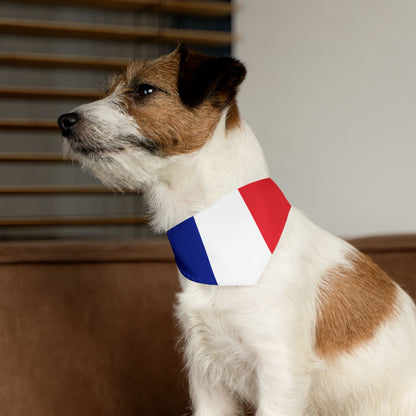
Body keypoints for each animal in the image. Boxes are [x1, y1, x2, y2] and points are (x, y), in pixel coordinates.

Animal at [57, 47, 416, 414]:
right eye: (110, 90)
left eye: (144, 89)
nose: (64, 121)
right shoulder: (207, 376)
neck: (217, 233)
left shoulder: (280, 372)